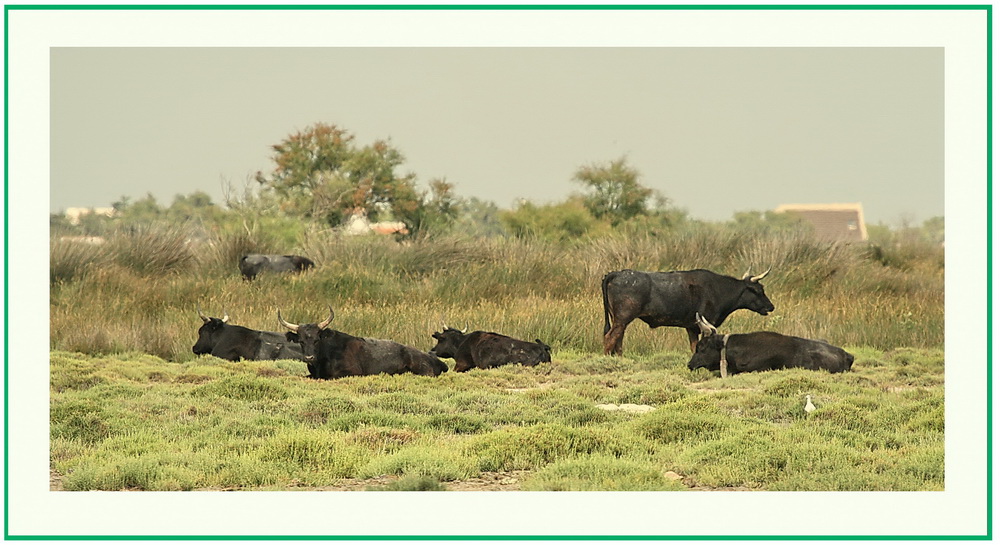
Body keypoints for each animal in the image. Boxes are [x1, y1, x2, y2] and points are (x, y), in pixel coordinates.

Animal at [596, 266, 776, 352]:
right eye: (759, 290)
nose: (771, 306)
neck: (718, 289)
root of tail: (616, 273)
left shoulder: (691, 327)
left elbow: (693, 346)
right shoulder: (704, 325)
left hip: (619, 320)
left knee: (618, 340)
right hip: (622, 318)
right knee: (610, 338)